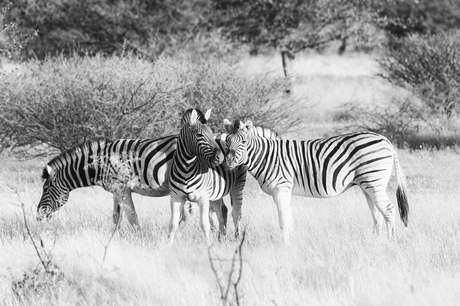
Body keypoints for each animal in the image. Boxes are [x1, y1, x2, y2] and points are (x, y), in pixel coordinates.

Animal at [168, 109, 248, 245]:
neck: (186, 170)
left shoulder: (203, 198)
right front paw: (168, 245)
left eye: (210, 133)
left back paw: (236, 239)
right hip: (216, 193)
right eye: (199, 135)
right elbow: (173, 224)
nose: (221, 158)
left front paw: (208, 246)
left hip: (238, 185)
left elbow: (204, 224)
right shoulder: (176, 197)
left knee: (236, 213)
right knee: (222, 211)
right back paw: (221, 238)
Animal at [223, 118, 410, 240]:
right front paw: (292, 242)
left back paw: (389, 242)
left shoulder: (281, 189)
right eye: (227, 142)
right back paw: (375, 242)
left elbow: (283, 220)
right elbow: (289, 218)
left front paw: (285, 246)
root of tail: (386, 140)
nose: (229, 162)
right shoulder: (285, 191)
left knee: (388, 210)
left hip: (373, 181)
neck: (268, 157)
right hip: (367, 185)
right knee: (378, 214)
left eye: (244, 142)